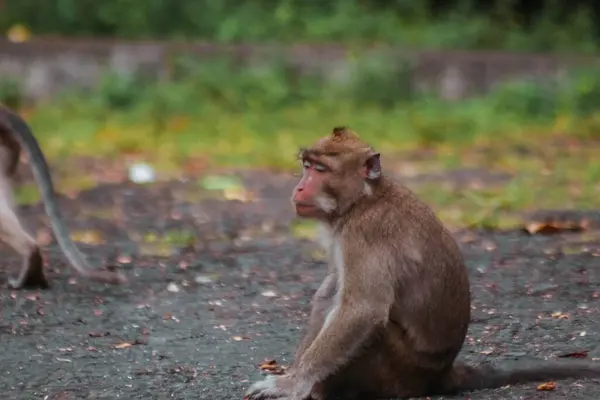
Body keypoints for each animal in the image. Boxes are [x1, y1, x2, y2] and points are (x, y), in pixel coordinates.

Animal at [245, 126, 600, 400]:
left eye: (320, 170)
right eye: (306, 165)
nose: (299, 186)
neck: (362, 200)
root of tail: (442, 374)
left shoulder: (365, 234)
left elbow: (361, 309)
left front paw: (292, 383)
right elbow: (330, 293)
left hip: (396, 371)